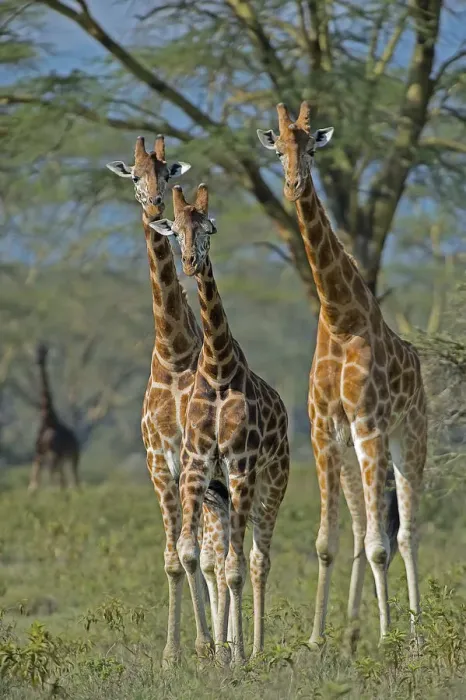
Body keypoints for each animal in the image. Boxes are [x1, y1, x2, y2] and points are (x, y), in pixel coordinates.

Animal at [29, 343, 80, 491]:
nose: (38, 361)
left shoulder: (54, 455)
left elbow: (53, 483)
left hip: (73, 456)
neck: (47, 420)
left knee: (74, 479)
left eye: (44, 351)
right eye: (36, 350)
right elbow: (33, 484)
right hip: (60, 459)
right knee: (64, 480)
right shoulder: (38, 453)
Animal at [150, 183, 290, 664]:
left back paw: (257, 650)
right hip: (223, 488)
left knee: (257, 558)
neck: (216, 368)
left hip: (271, 481)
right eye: (175, 230)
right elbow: (189, 550)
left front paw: (238, 655)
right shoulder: (196, 464)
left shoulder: (242, 463)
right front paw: (204, 648)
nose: (191, 262)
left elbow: (235, 566)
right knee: (227, 551)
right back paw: (226, 648)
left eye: (208, 227)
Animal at [257, 102, 427, 647]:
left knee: (404, 531)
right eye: (278, 149)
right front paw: (318, 641)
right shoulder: (324, 431)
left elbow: (380, 544)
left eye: (312, 148)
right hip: (355, 449)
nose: (293, 185)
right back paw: (353, 632)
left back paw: (413, 636)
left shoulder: (370, 426)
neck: (338, 317)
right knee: (358, 530)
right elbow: (326, 542)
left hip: (409, 437)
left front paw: (387, 639)